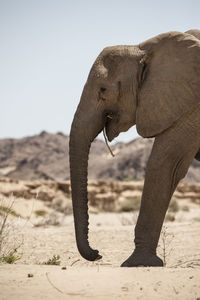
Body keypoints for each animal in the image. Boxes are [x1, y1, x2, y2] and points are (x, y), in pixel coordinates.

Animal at [69, 28, 200, 268]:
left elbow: (165, 165)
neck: (143, 48)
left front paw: (138, 263)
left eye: (103, 90)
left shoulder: (191, 106)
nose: (98, 253)